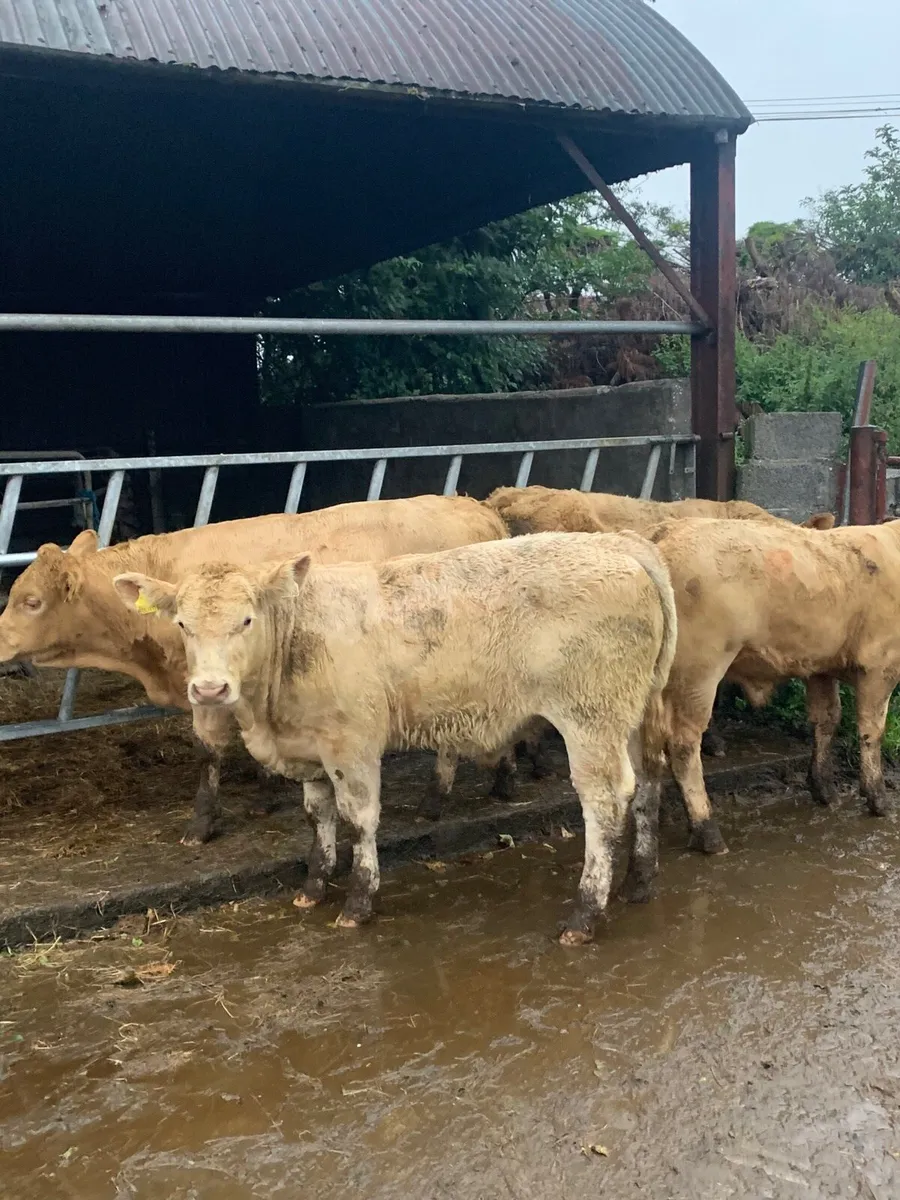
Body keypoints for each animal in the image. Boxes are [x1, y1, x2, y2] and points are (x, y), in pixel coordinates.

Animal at [0, 496, 507, 843]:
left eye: (32, 601)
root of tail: (475, 508)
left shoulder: (206, 686)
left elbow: (209, 750)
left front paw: (202, 824)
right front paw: (267, 794)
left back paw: (439, 799)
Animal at [113, 530, 677, 943]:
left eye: (247, 620)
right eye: (182, 625)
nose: (209, 689)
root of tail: (619, 543)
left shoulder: (353, 743)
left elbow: (359, 818)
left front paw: (359, 901)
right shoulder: (309, 747)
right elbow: (318, 815)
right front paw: (314, 885)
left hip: (591, 717)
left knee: (604, 801)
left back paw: (585, 913)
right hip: (636, 712)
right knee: (649, 783)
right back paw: (639, 881)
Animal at [634, 516, 900, 871]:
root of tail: (665, 531)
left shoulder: (820, 666)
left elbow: (827, 719)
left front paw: (824, 789)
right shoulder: (881, 664)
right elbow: (872, 730)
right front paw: (878, 798)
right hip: (699, 670)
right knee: (682, 745)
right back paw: (707, 832)